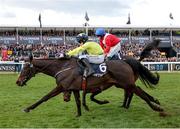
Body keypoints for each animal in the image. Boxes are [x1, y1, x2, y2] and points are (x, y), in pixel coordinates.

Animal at [16, 52, 164, 116]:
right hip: (123, 84)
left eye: (25, 68)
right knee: (136, 91)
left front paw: (28, 108)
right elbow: (78, 101)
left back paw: (157, 107)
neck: (63, 67)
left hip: (126, 83)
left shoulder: (62, 86)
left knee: (139, 92)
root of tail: (125, 61)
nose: (18, 82)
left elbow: (44, 97)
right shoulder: (74, 88)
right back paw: (153, 102)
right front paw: (79, 114)